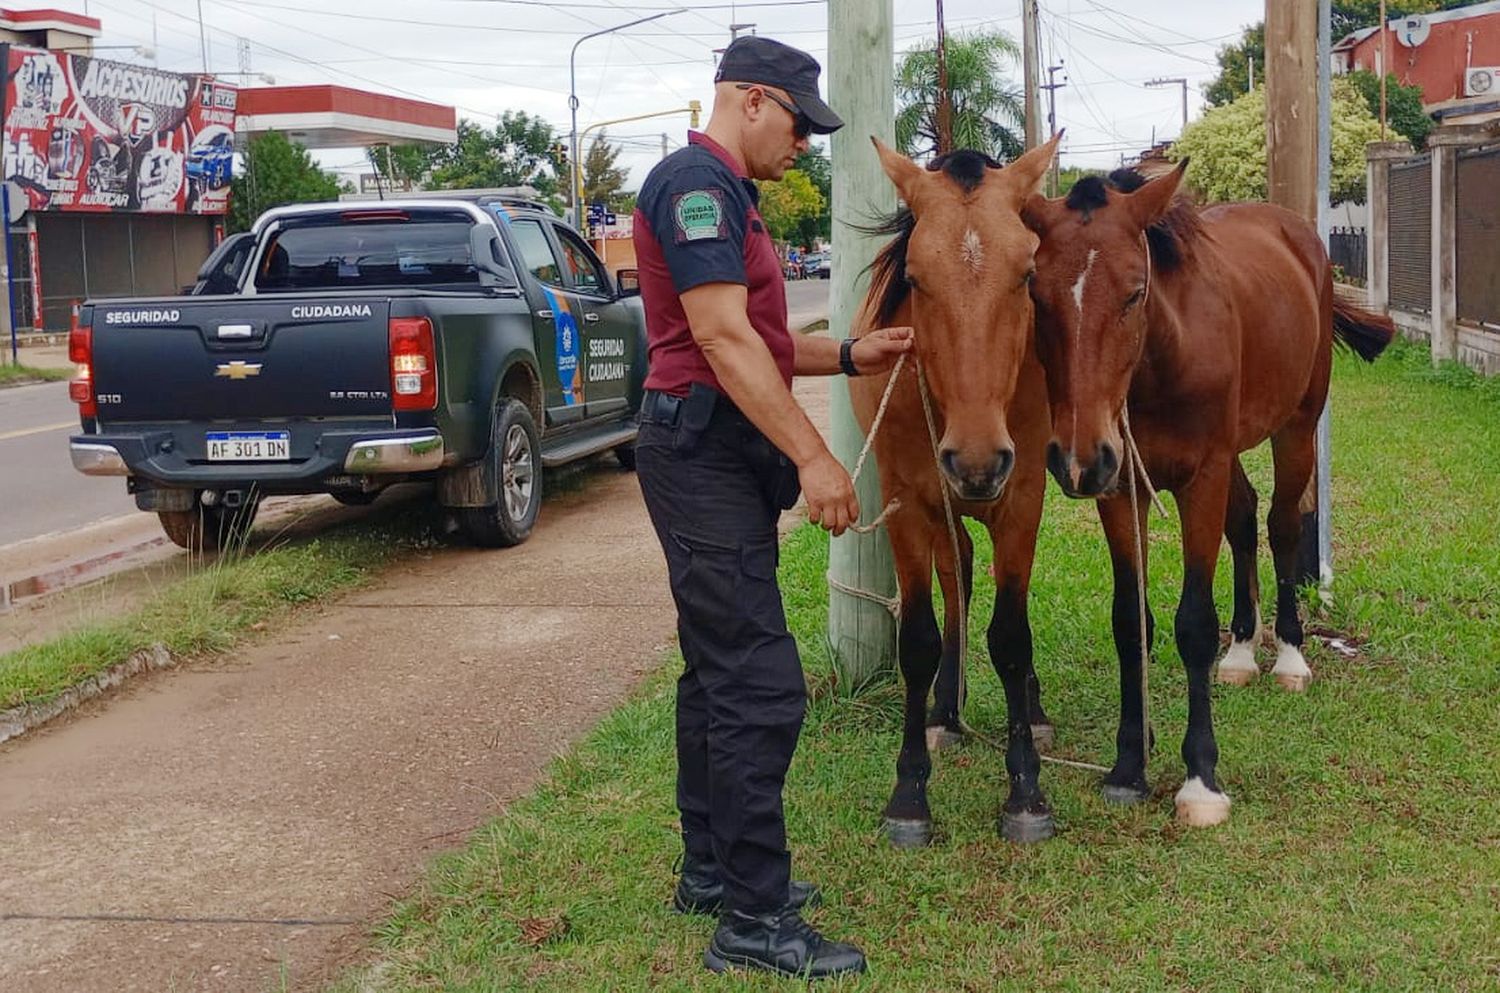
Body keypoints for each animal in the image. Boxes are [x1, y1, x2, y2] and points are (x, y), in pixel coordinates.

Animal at [852, 136, 1062, 846]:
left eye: (1026, 274)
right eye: (915, 279)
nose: (975, 461)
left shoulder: (1021, 500)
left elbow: (1012, 637)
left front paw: (1025, 789)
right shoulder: (908, 508)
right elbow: (917, 641)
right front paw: (908, 794)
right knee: (959, 581)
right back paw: (945, 710)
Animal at [1020, 163, 1392, 828]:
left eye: (1134, 293)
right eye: (1038, 295)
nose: (1077, 459)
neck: (1163, 358)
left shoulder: (1201, 479)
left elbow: (1193, 623)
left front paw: (1200, 780)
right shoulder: (1121, 489)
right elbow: (1130, 621)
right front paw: (1128, 765)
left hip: (1295, 429)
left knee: (1280, 525)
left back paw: (1289, 656)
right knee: (1244, 521)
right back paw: (1242, 652)